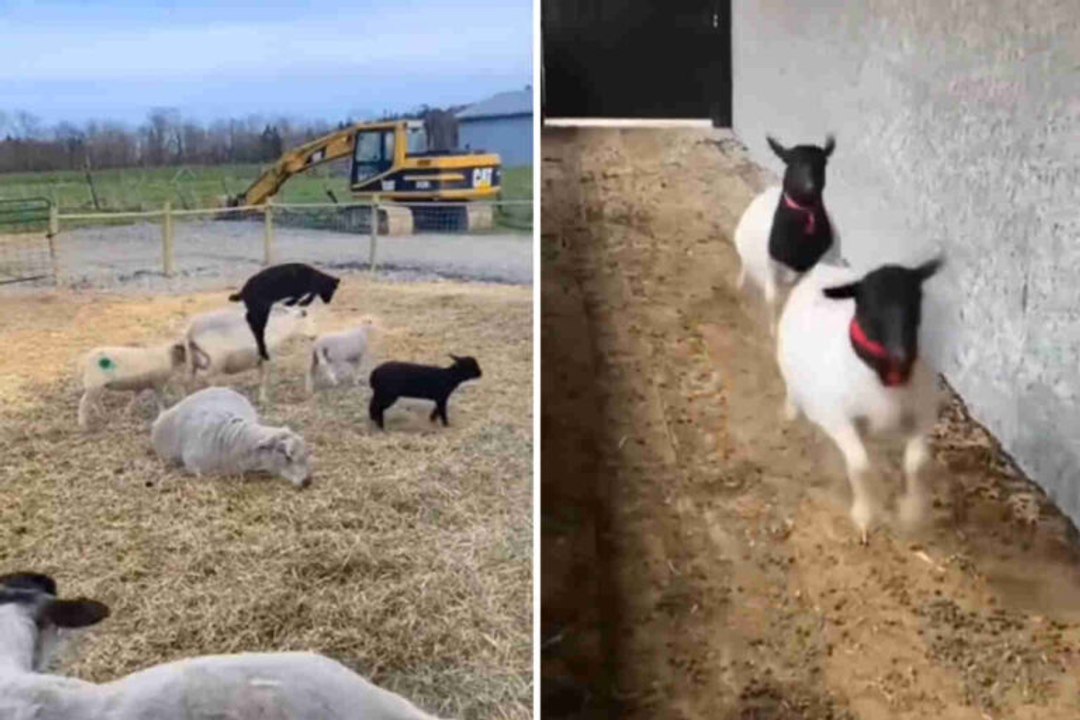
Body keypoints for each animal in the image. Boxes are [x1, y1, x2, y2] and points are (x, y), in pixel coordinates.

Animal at [185, 304, 316, 403]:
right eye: (305, 316)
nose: (314, 336)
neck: (280, 326)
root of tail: (192, 331)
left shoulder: (259, 360)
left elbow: (260, 378)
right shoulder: (266, 358)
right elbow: (263, 378)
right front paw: (263, 399)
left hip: (194, 360)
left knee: (191, 378)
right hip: (214, 362)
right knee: (206, 379)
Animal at [734, 135, 839, 334]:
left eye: (823, 162)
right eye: (790, 161)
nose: (809, 186)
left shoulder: (807, 270)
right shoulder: (772, 266)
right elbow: (773, 298)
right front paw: (774, 330)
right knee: (745, 269)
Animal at [776, 258, 944, 544]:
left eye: (916, 297)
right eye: (868, 303)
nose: (901, 353)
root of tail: (826, 268)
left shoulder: (923, 413)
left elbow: (916, 462)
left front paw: (911, 512)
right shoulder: (838, 419)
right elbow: (860, 464)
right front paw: (864, 514)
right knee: (792, 392)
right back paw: (790, 415)